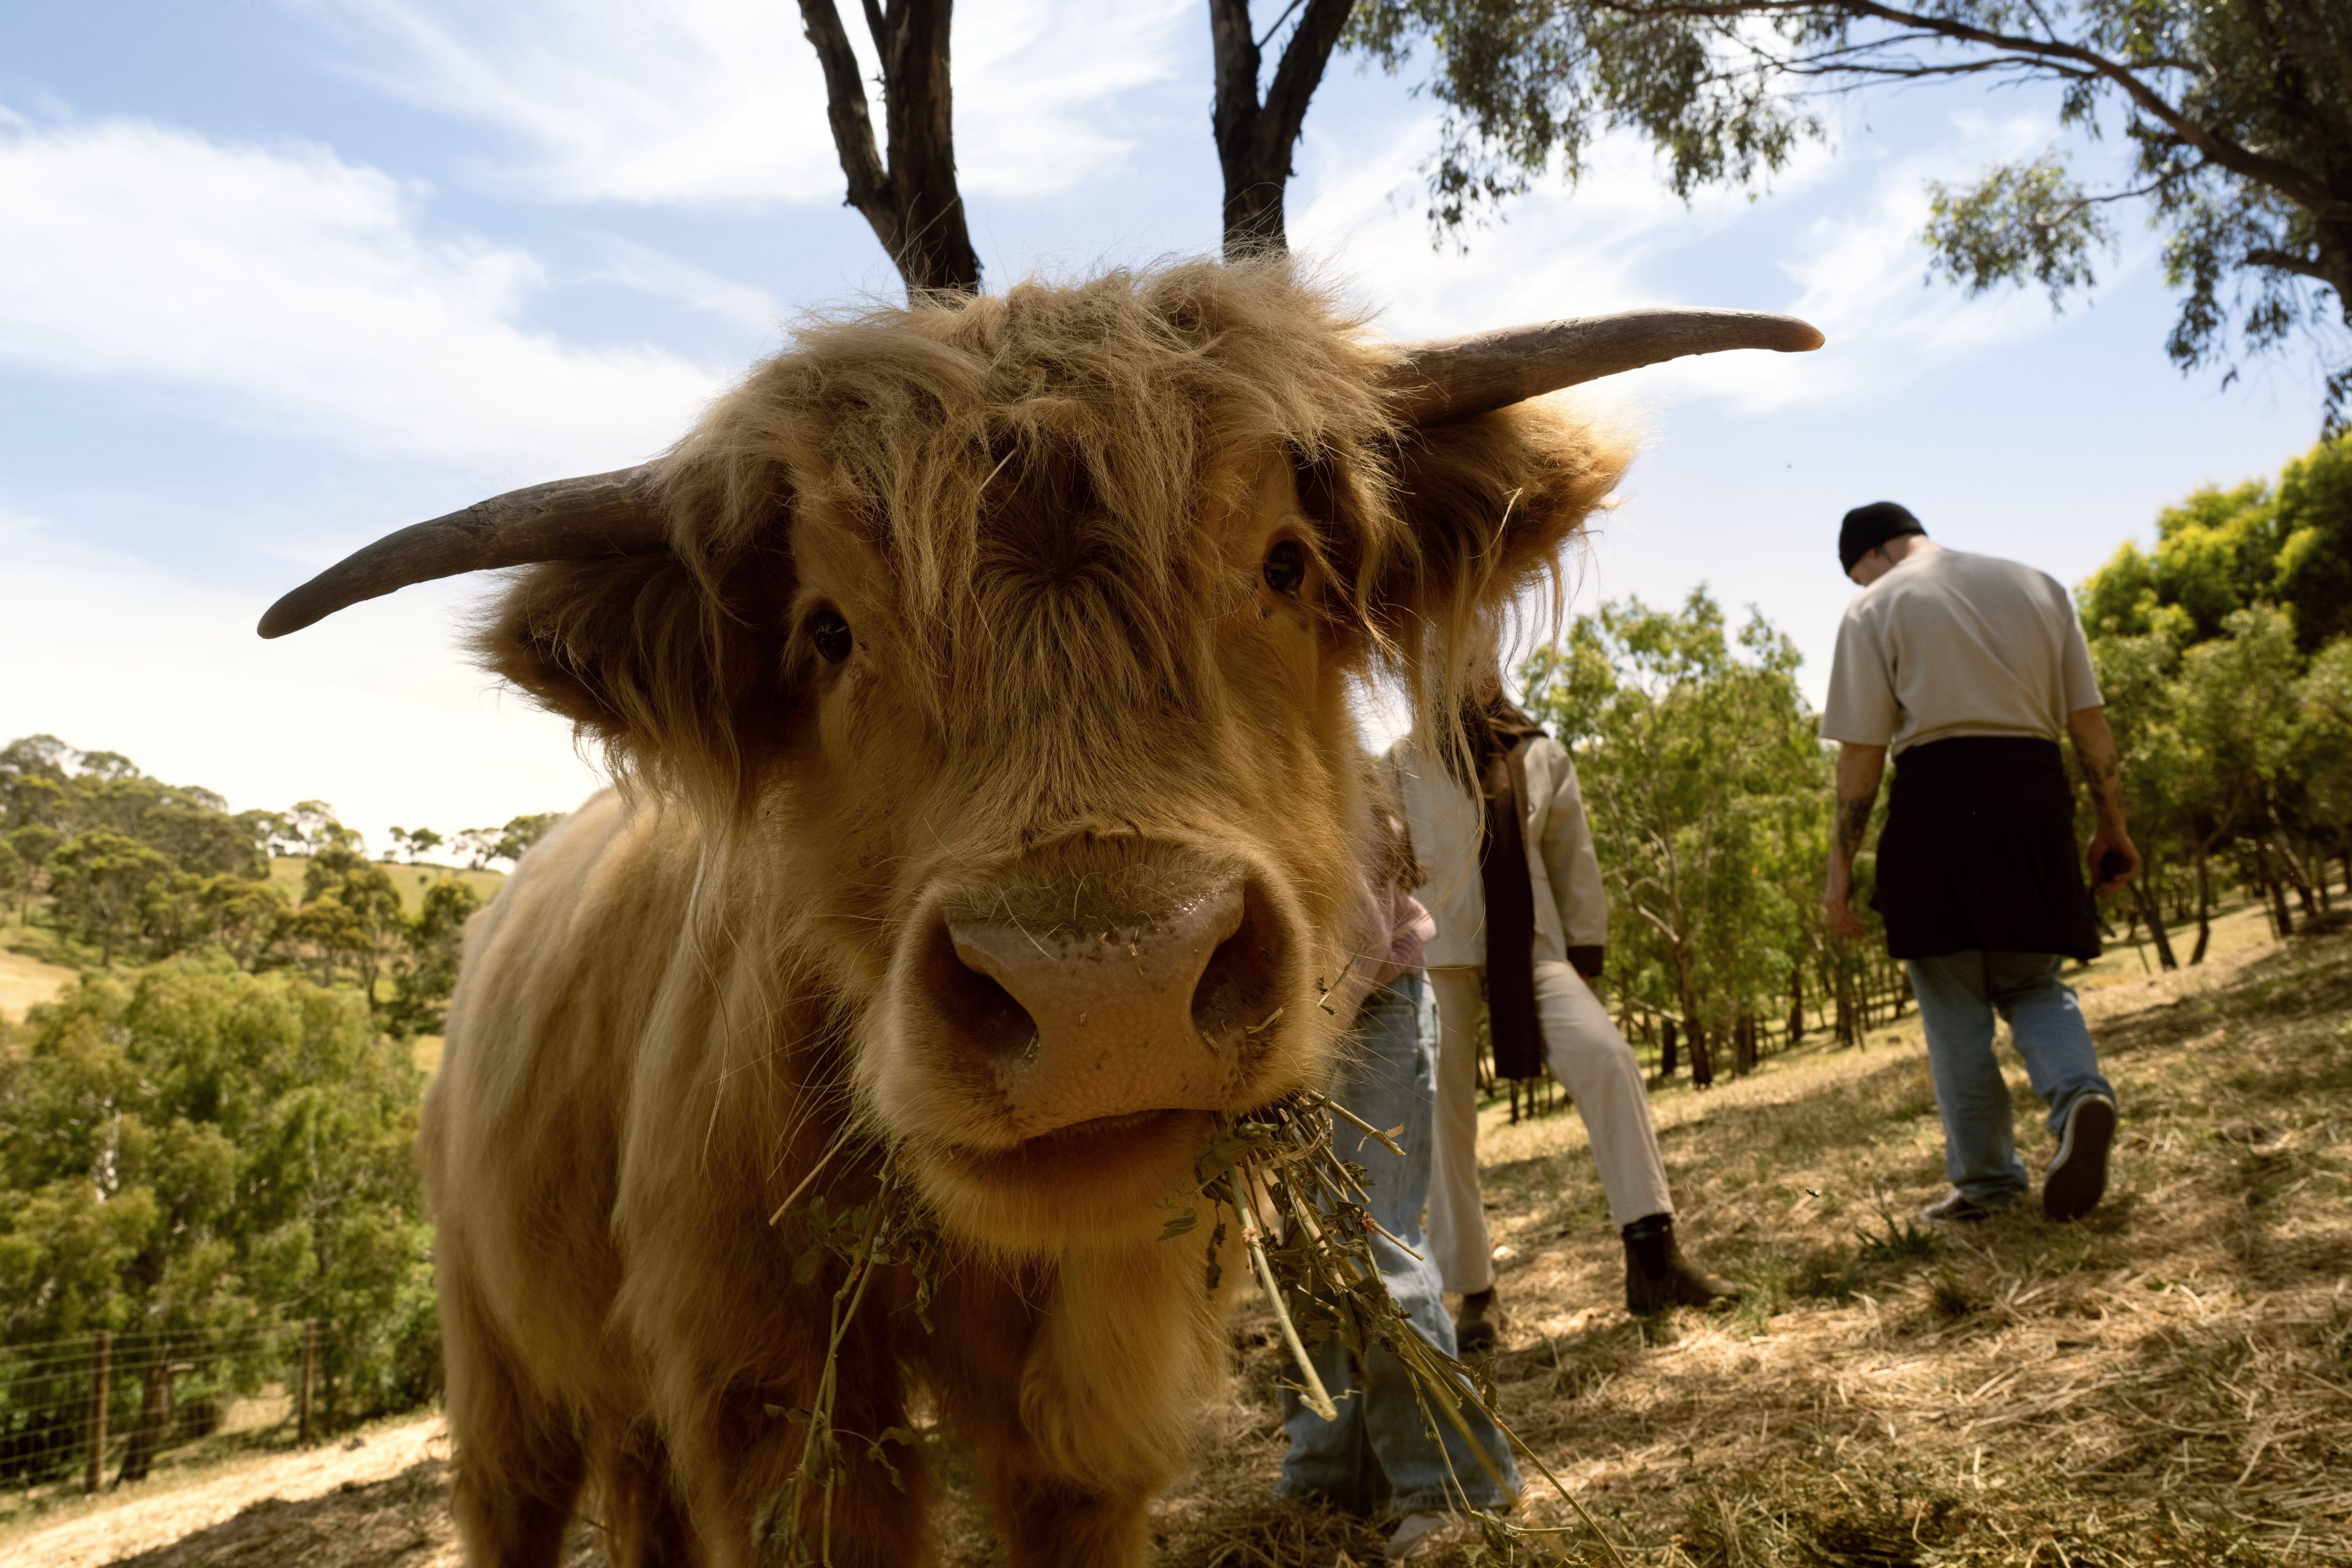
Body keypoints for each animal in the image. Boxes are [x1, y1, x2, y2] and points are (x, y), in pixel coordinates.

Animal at [259, 260, 1818, 1567]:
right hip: (498, 1361)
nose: (1102, 985)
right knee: (521, 1497)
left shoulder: (1088, 1392)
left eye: (1283, 563)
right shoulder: (760, 1369)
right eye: (827, 631)